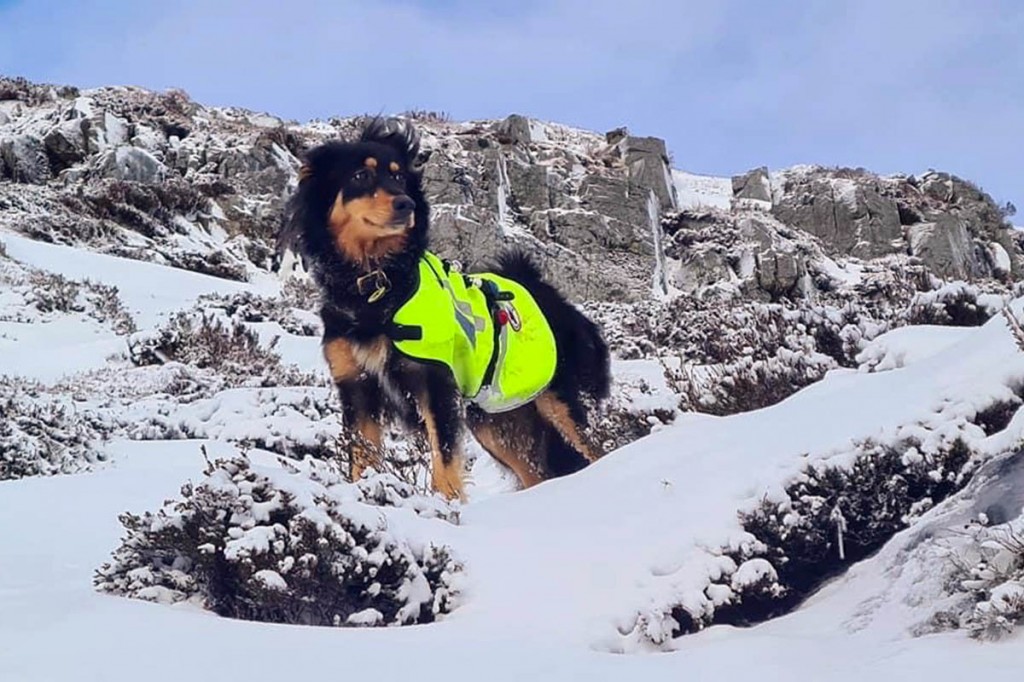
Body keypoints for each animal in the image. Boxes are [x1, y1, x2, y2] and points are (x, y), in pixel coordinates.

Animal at [280, 118, 606, 499]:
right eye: (361, 176)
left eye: (399, 177)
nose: (406, 204)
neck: (377, 282)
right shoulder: (356, 386)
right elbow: (362, 458)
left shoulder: (433, 381)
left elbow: (444, 457)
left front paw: (447, 505)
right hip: (497, 421)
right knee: (536, 473)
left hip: (559, 399)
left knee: (596, 448)